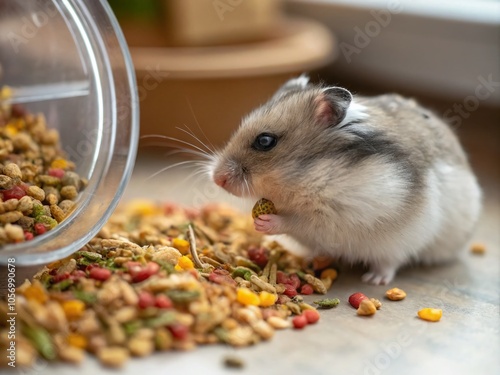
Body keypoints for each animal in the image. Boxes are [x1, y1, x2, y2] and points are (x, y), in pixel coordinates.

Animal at [210, 75, 480, 284]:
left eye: (265, 141)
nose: (217, 179)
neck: (306, 174)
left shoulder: (344, 216)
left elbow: (301, 222)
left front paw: (264, 223)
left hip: (399, 243)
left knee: (390, 262)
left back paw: (374, 280)